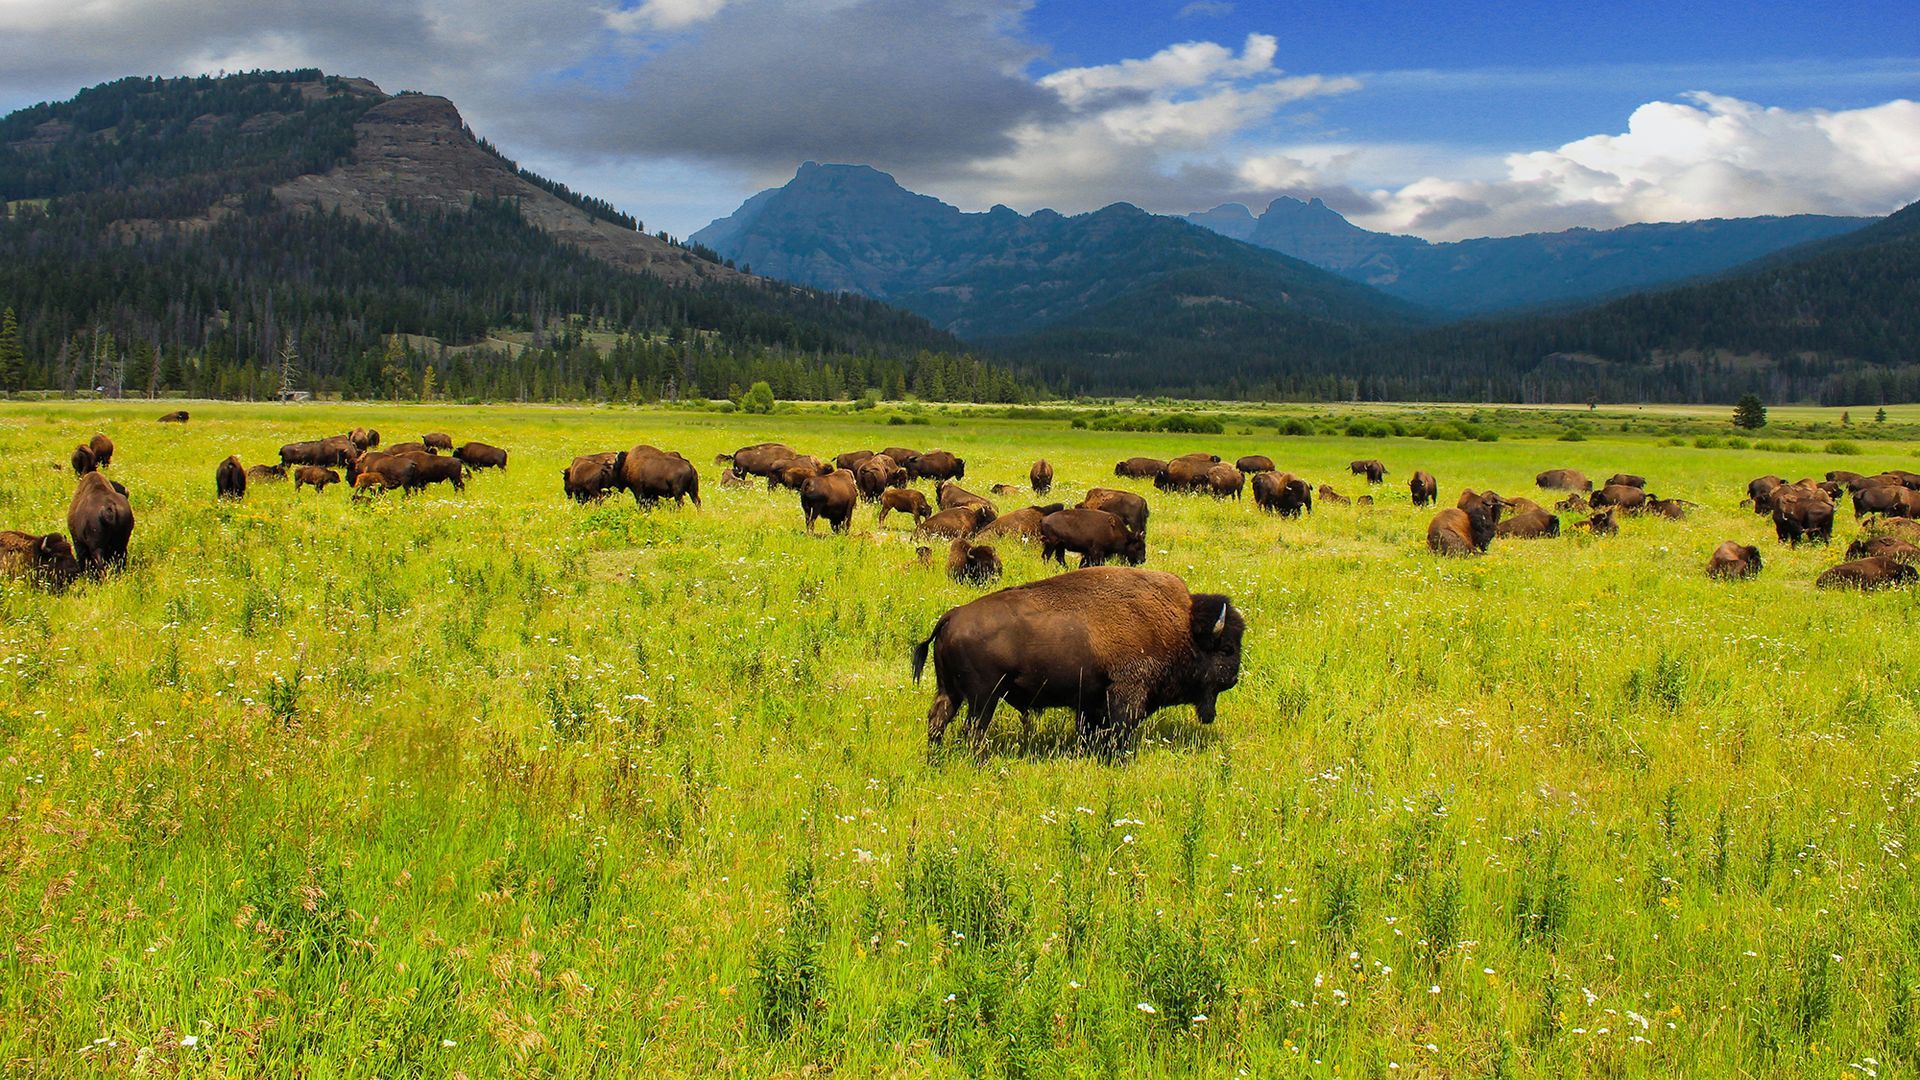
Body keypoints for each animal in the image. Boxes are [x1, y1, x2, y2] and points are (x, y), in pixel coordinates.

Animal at [912, 567, 1244, 752]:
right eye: (1227, 649)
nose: (1233, 679)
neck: (1180, 626)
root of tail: (951, 616)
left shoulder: (1091, 701)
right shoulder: (1127, 693)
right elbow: (1120, 731)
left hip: (951, 691)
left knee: (938, 720)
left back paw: (935, 758)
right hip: (984, 697)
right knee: (973, 730)